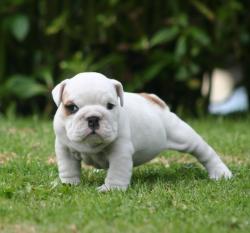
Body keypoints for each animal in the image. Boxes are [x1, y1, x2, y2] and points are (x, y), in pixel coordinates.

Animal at [52, 72, 232, 191]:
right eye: (72, 107)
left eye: (110, 106)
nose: (93, 118)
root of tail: (153, 100)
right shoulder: (64, 148)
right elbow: (68, 168)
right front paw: (69, 184)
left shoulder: (120, 152)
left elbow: (117, 171)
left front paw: (111, 189)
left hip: (182, 136)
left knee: (205, 153)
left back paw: (221, 173)